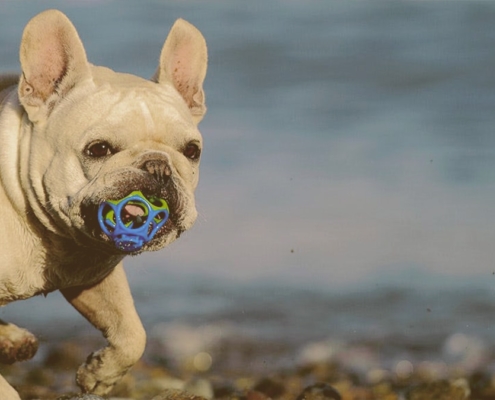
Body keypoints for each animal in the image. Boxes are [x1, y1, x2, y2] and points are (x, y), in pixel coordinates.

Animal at [0, 10, 207, 400]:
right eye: (98, 149)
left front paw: (100, 375)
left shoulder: (92, 275)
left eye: (192, 151)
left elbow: (132, 332)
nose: (158, 165)